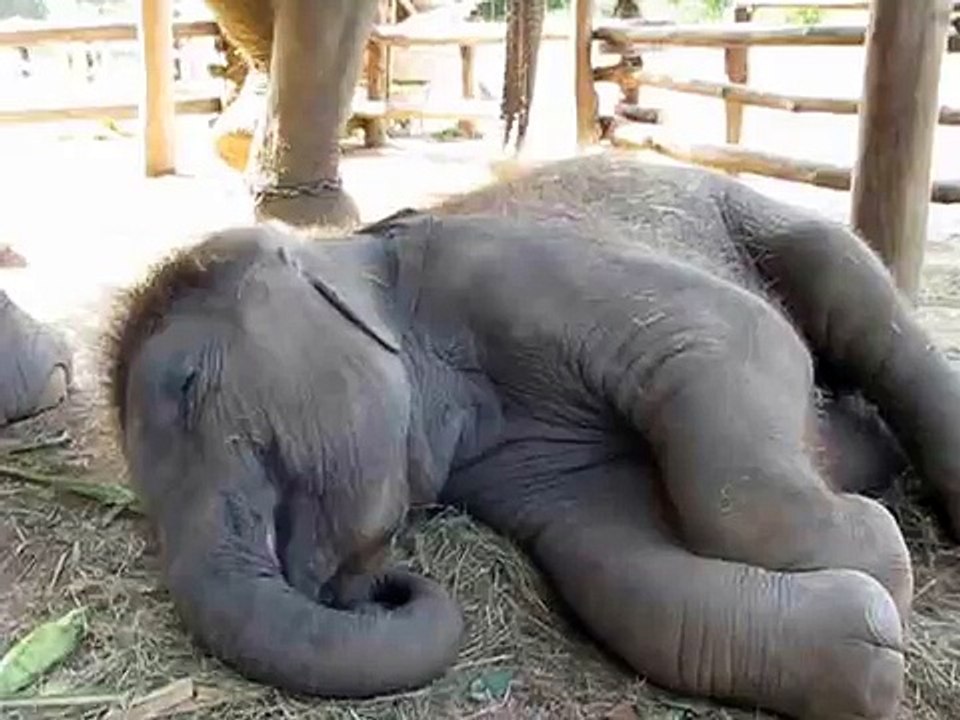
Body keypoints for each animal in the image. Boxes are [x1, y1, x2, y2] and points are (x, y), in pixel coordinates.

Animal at [106, 153, 960, 719]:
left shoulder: (514, 266)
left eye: (189, 387)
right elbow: (621, 576)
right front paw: (873, 640)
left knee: (865, 312)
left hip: (755, 212)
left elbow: (736, 338)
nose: (382, 583)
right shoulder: (518, 465)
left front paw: (877, 549)